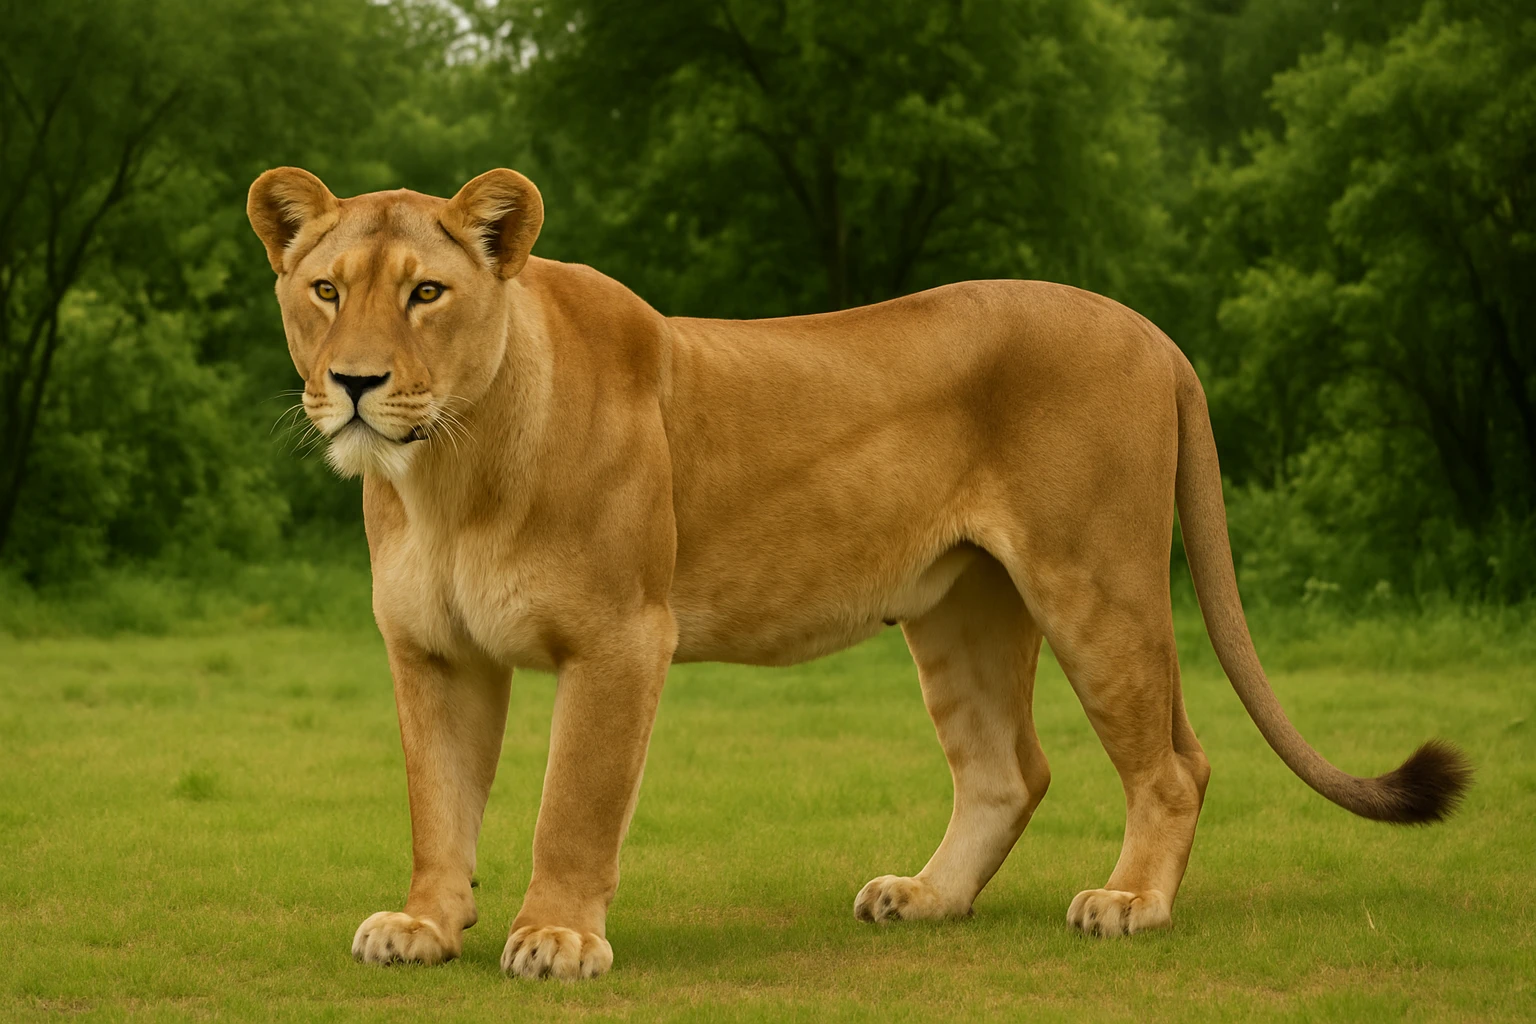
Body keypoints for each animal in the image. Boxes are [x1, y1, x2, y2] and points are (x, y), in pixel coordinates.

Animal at [247, 166, 1471, 980]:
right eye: (326, 291)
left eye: (425, 294)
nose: (355, 383)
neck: (444, 472)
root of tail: (1155, 331)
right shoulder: (432, 650)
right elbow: (438, 801)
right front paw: (424, 925)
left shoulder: (620, 635)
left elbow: (575, 803)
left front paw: (554, 935)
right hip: (964, 607)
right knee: (1007, 770)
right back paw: (925, 898)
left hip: (1096, 581)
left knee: (1174, 761)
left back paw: (1129, 902)